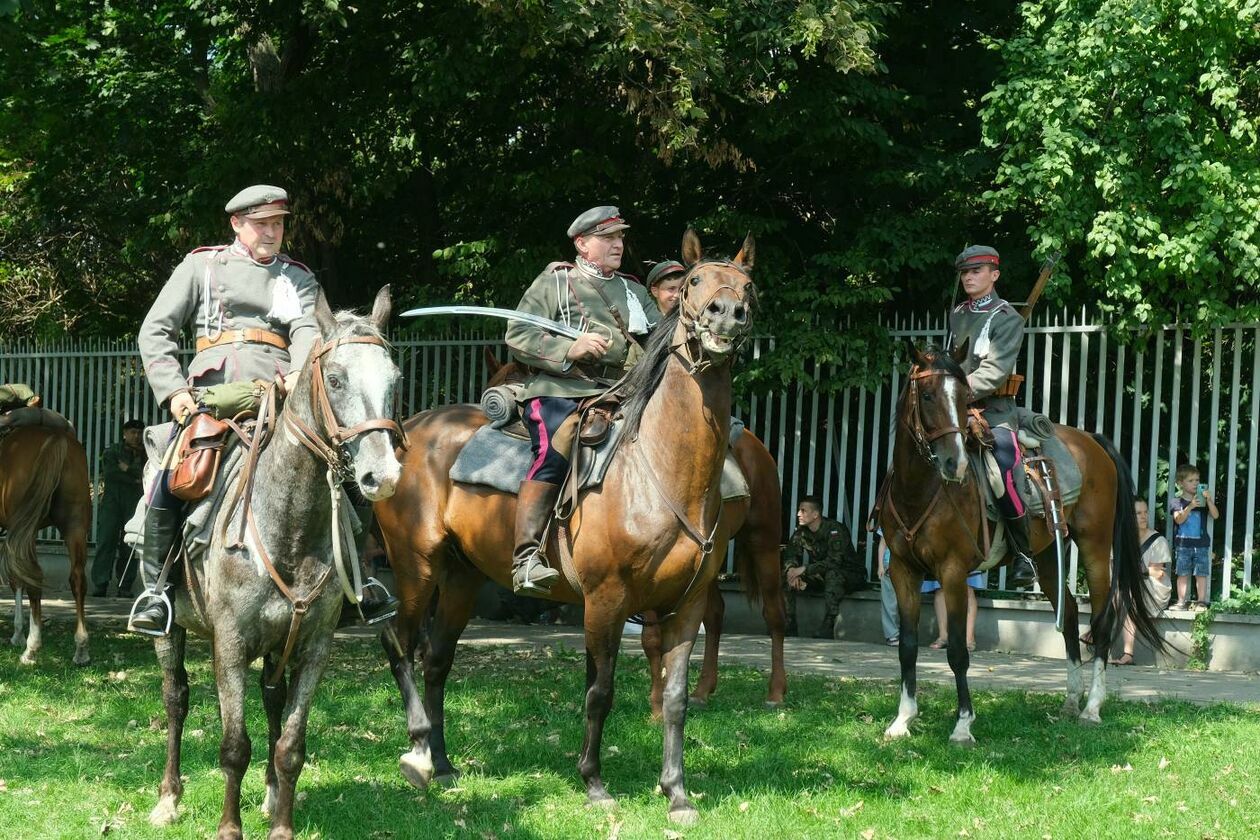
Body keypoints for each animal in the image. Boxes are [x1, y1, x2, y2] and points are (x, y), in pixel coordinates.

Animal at [0, 418, 92, 664]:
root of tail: (55, 438)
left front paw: (19, 634)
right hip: (75, 525)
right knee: (77, 578)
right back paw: (81, 648)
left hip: (28, 529)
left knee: (34, 578)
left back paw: (32, 647)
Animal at [146, 287, 403, 840]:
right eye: (335, 378)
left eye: (393, 379)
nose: (383, 475)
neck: (288, 525)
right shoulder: (230, 645)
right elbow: (232, 746)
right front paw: (228, 827)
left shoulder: (313, 646)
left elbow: (290, 743)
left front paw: (282, 824)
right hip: (169, 630)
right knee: (176, 698)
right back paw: (169, 798)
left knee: (272, 698)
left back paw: (267, 795)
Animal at [481, 347, 786, 710]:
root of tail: (755, 445)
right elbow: (652, 638)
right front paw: (658, 697)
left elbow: (652, 636)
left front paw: (656, 702)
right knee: (715, 614)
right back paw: (703, 688)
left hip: (763, 540)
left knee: (773, 612)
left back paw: (776, 691)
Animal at [876, 345, 1159, 745]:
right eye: (928, 395)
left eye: (963, 398)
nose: (954, 463)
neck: (919, 491)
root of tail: (1092, 441)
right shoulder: (903, 570)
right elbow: (907, 646)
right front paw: (903, 718)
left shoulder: (952, 572)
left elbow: (958, 651)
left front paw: (963, 724)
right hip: (1047, 555)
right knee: (1068, 616)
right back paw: (1070, 701)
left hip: (1095, 546)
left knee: (1102, 620)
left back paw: (1091, 707)